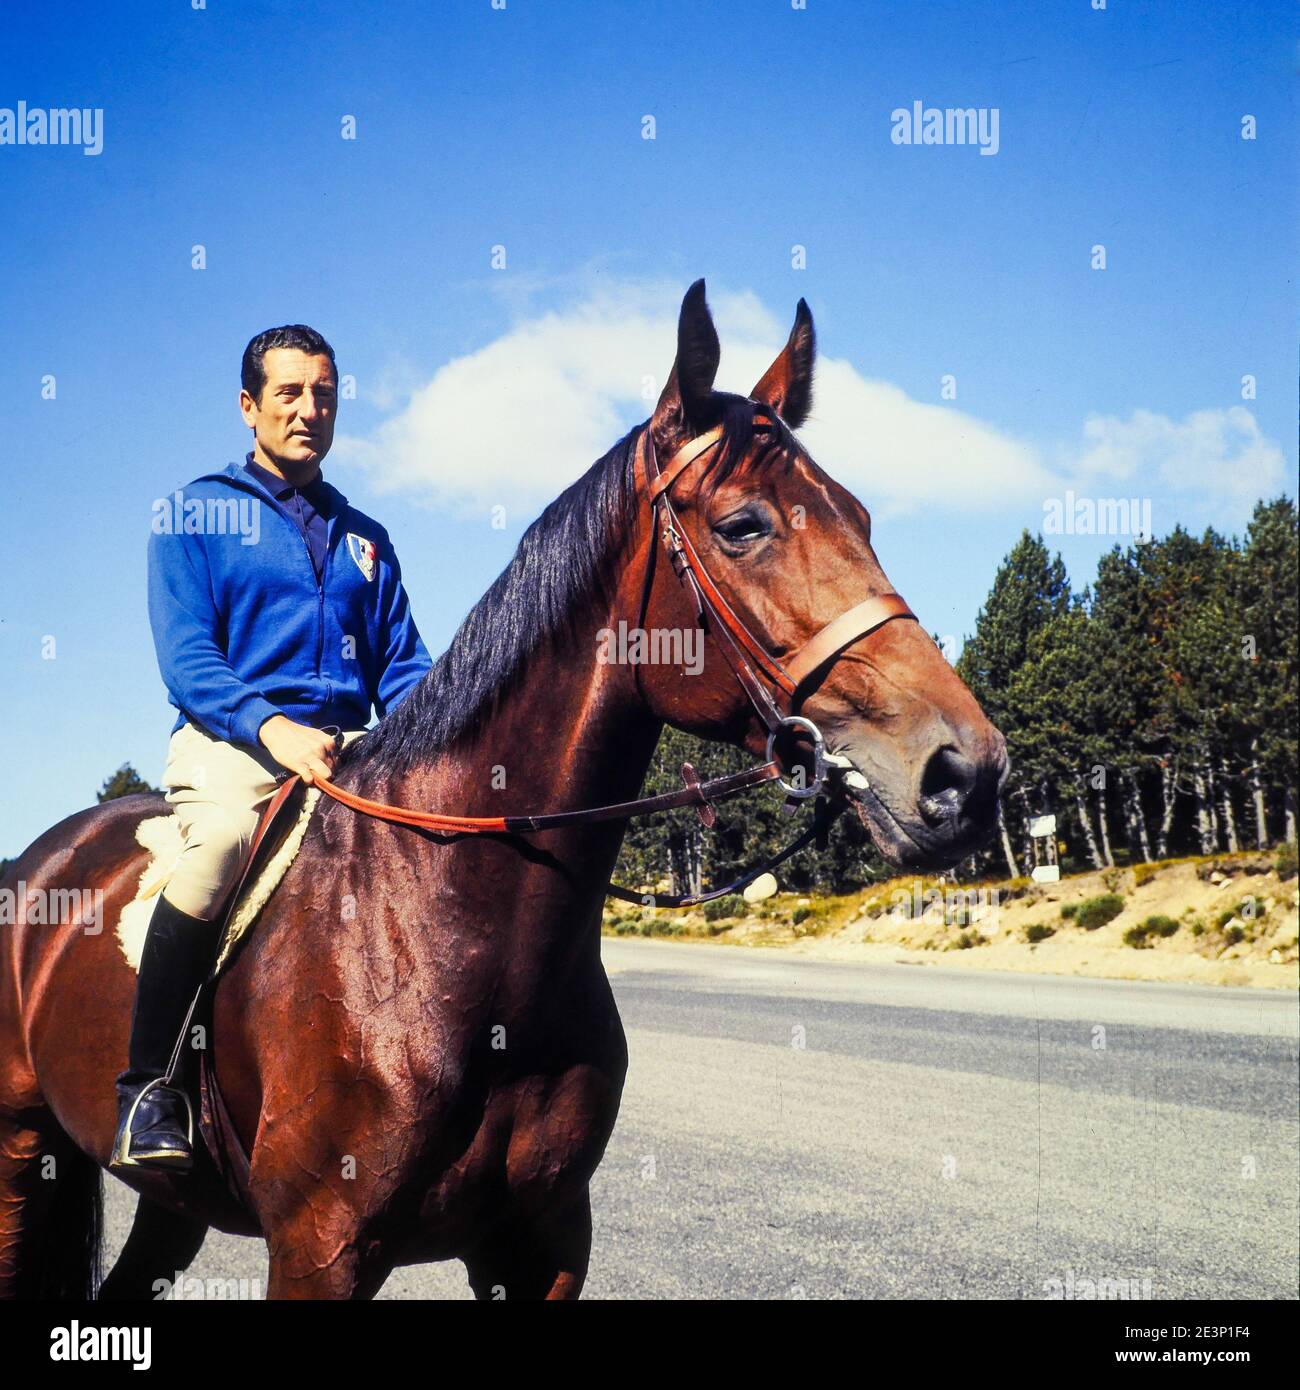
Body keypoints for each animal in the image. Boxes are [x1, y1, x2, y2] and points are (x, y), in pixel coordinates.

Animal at [0, 281, 1007, 1299]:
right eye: (743, 526)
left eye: (862, 516)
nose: (966, 770)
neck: (453, 941)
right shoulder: (319, 1247)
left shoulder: (542, 1242)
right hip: (21, 1154)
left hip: (171, 1205)